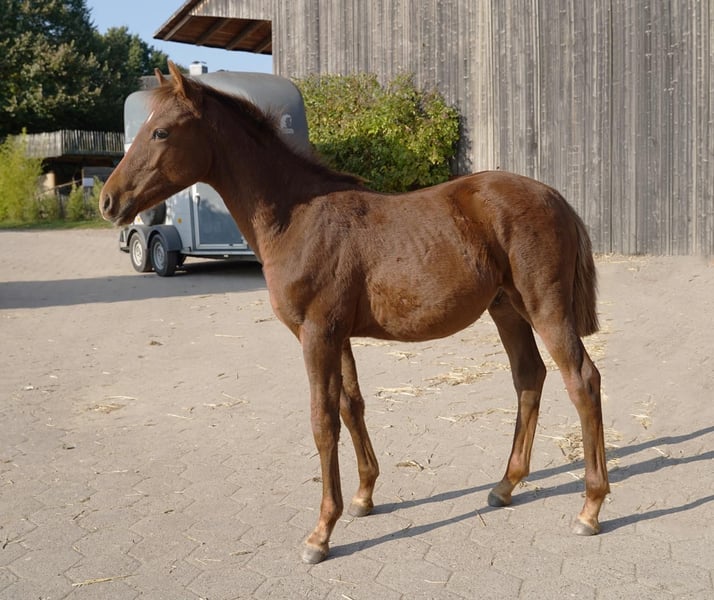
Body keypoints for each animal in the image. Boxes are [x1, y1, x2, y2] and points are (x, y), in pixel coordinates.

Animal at [100, 61, 610, 564]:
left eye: (161, 131)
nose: (109, 200)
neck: (296, 219)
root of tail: (555, 198)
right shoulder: (337, 334)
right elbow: (351, 405)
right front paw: (364, 496)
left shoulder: (316, 334)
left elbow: (323, 421)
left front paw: (321, 532)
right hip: (507, 309)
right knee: (529, 377)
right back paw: (505, 485)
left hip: (546, 308)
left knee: (582, 380)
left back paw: (590, 507)